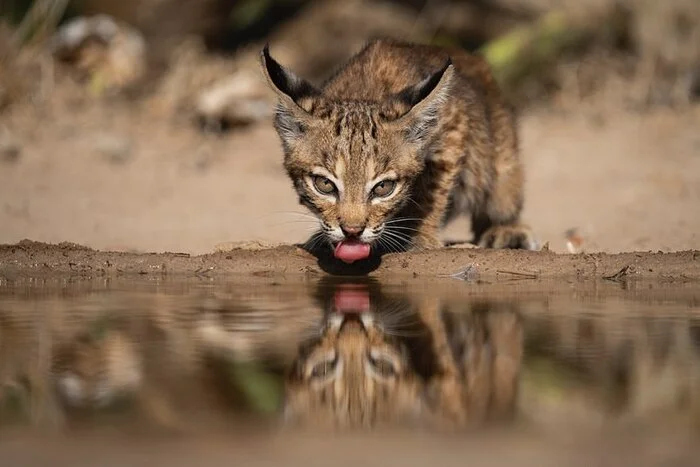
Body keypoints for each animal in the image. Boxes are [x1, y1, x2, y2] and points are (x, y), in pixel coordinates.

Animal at [260, 38, 540, 266]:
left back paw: (507, 230)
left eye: (383, 188)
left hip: (502, 170)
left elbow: (431, 193)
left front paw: (421, 237)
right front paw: (323, 237)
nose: (352, 232)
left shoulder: (453, 130)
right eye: (324, 185)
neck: (364, 94)